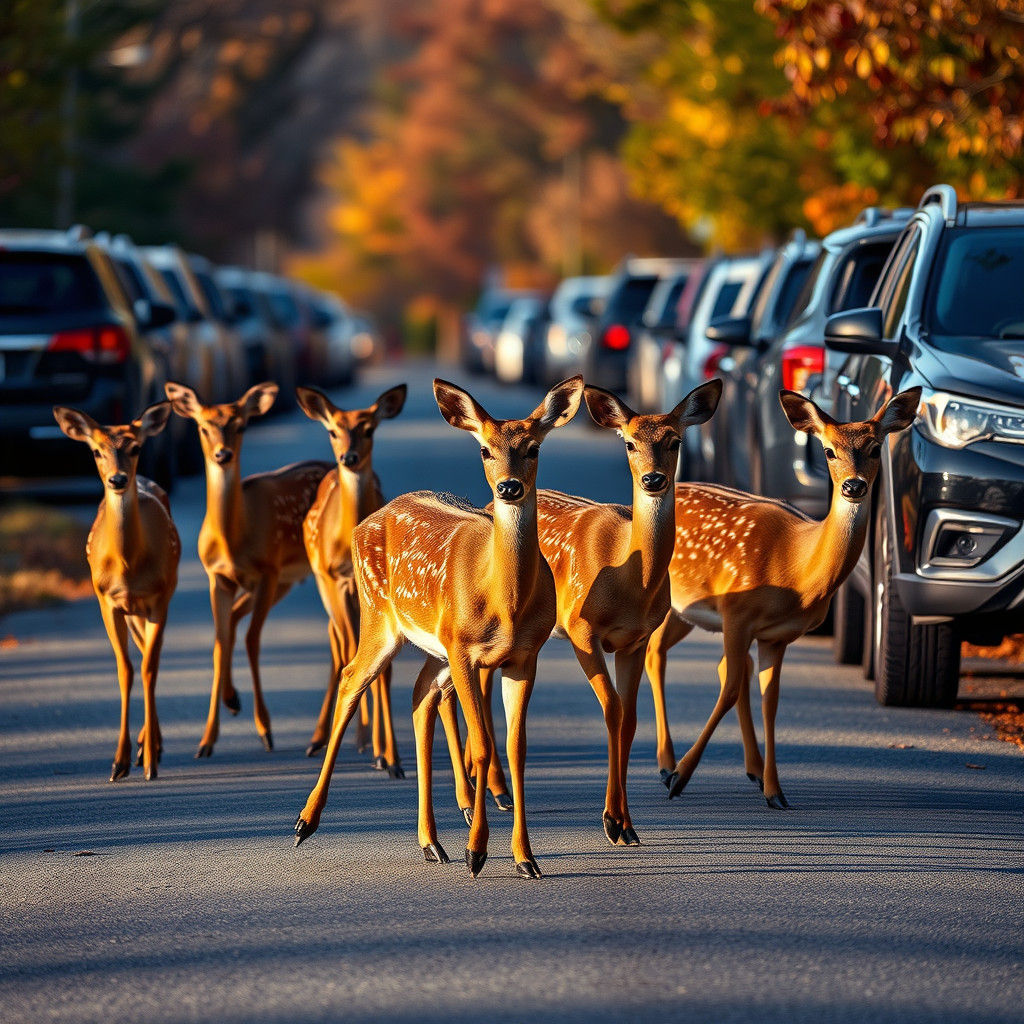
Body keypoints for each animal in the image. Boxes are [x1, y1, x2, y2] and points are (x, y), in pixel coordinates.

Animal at [53, 402, 180, 782]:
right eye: (96, 450)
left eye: (135, 447)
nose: (118, 479)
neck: (128, 567)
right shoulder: (106, 601)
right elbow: (126, 670)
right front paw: (118, 762)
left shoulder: (159, 600)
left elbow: (150, 668)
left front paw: (149, 761)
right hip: (131, 612)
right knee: (139, 656)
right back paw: (144, 746)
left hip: (156, 602)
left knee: (150, 659)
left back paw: (151, 748)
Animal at [164, 381, 332, 758]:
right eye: (203, 427)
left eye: (241, 426)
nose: (222, 455)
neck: (234, 540)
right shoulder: (218, 577)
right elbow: (220, 639)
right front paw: (207, 738)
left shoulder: (268, 570)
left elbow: (253, 640)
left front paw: (265, 730)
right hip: (285, 582)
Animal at [296, 383, 408, 774]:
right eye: (333, 431)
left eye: (369, 429)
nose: (349, 456)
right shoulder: (333, 578)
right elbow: (350, 652)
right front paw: (373, 747)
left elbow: (383, 668)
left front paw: (389, 756)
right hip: (322, 582)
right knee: (338, 643)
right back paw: (320, 739)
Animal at [527, 380, 723, 848]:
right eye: (630, 443)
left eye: (674, 441)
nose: (653, 479)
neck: (629, 579)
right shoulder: (582, 630)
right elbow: (612, 710)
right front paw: (611, 821)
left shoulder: (636, 640)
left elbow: (630, 719)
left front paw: (627, 825)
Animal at [646, 387, 921, 809]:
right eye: (829, 451)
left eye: (876, 449)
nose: (854, 486)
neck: (796, 567)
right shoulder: (737, 614)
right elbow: (730, 690)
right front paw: (680, 777)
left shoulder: (777, 635)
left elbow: (769, 700)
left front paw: (776, 792)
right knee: (659, 655)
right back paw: (666, 765)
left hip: (687, 613)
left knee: (691, 660)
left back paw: (751, 770)